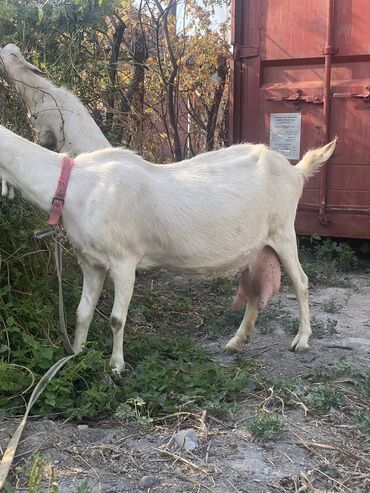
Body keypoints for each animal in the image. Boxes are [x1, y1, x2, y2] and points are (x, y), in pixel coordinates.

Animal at [0, 124, 336, 372]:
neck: (76, 187)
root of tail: (295, 171)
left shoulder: (123, 260)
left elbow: (116, 318)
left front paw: (116, 366)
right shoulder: (91, 262)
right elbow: (82, 313)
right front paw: (77, 356)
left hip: (283, 232)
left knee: (301, 282)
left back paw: (301, 340)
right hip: (257, 247)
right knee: (255, 291)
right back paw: (236, 342)